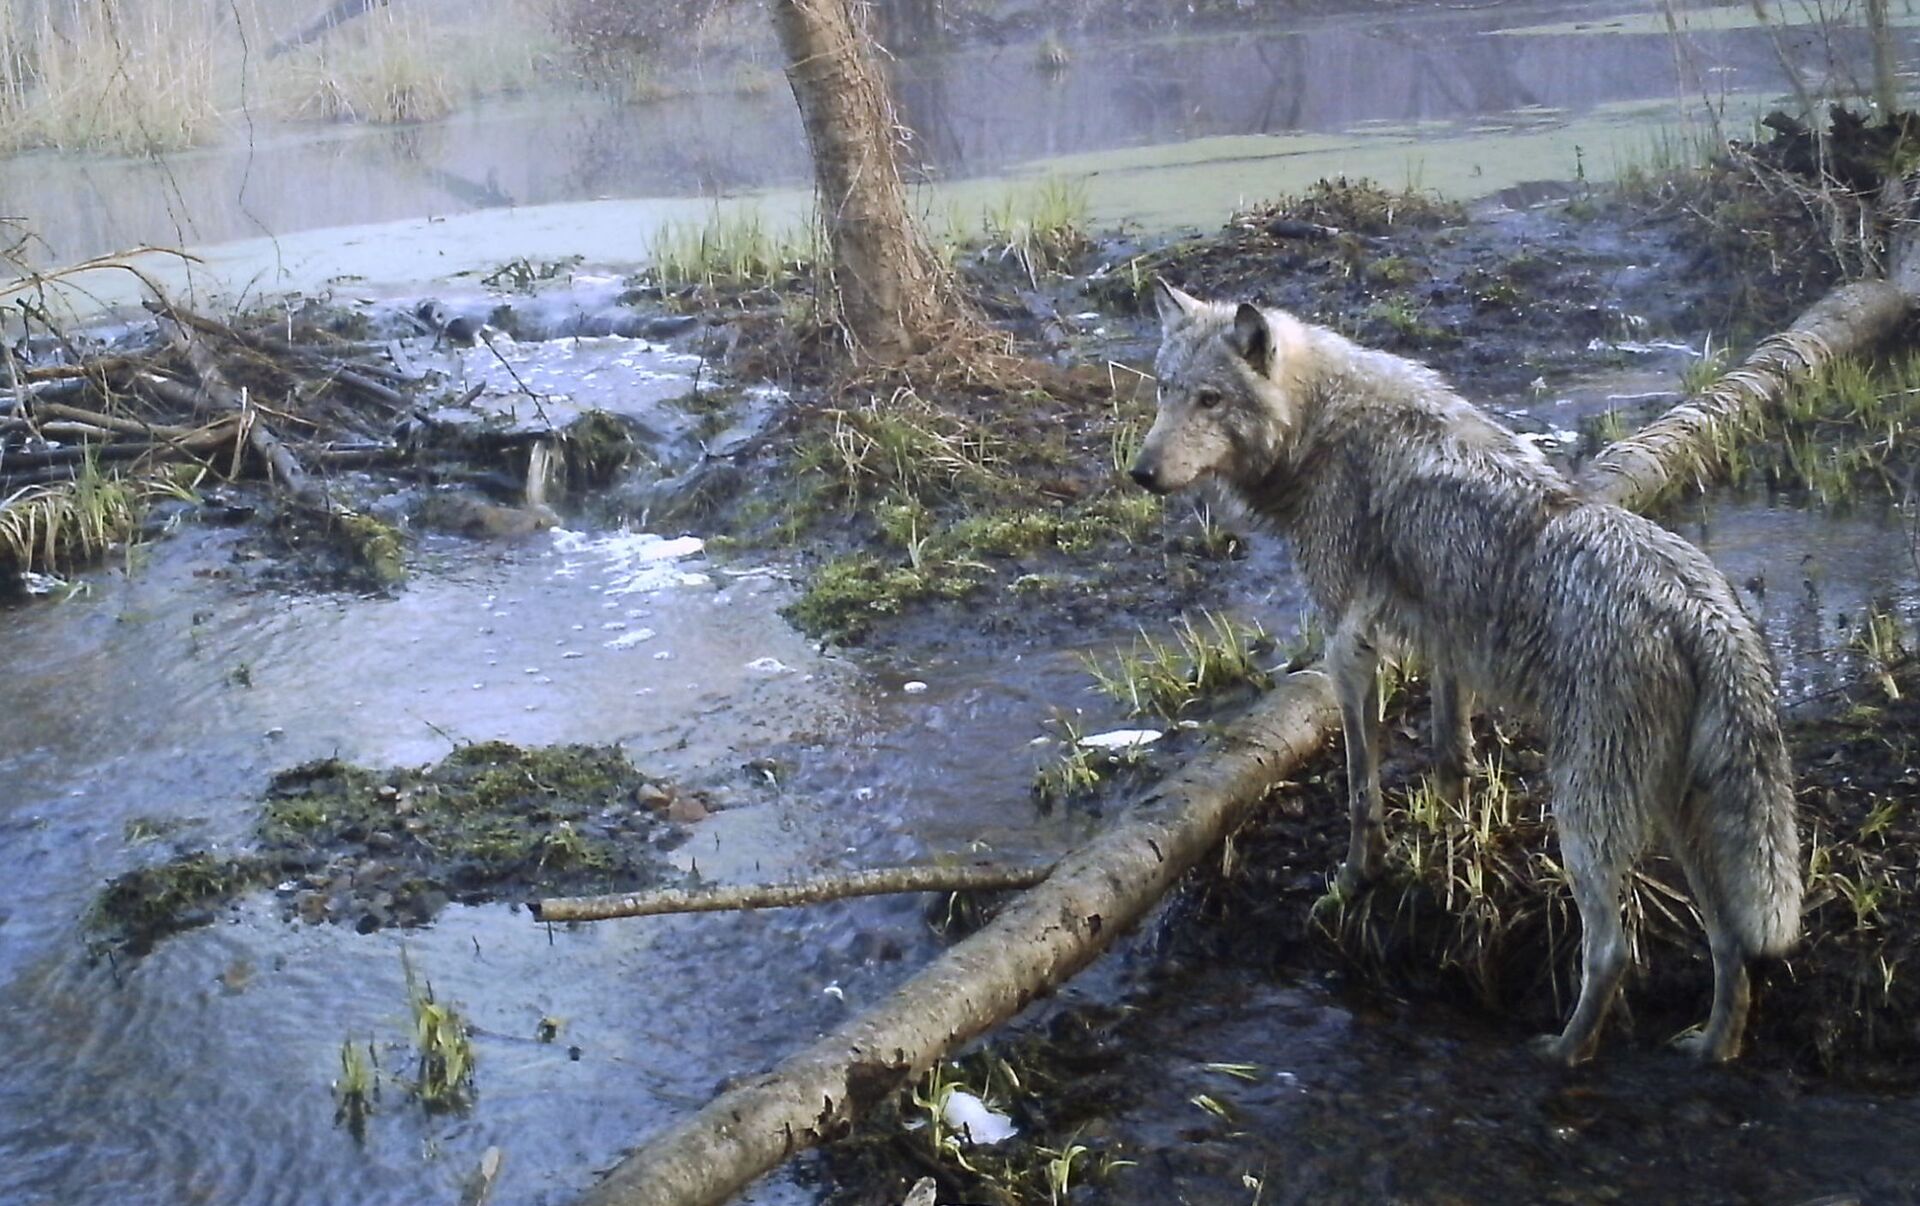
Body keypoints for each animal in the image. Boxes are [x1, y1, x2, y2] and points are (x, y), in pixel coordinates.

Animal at [1121, 282, 1797, 1067]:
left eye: (1210, 400)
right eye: (1164, 391)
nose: (1141, 473)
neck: (1324, 428)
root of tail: (1703, 611)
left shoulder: (1349, 645)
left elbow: (1360, 789)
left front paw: (1356, 880)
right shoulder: (1446, 638)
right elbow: (1450, 754)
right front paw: (1445, 844)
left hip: (1587, 818)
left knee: (1612, 951)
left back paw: (1563, 1054)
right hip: (1674, 815)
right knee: (1730, 943)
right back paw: (1712, 1048)